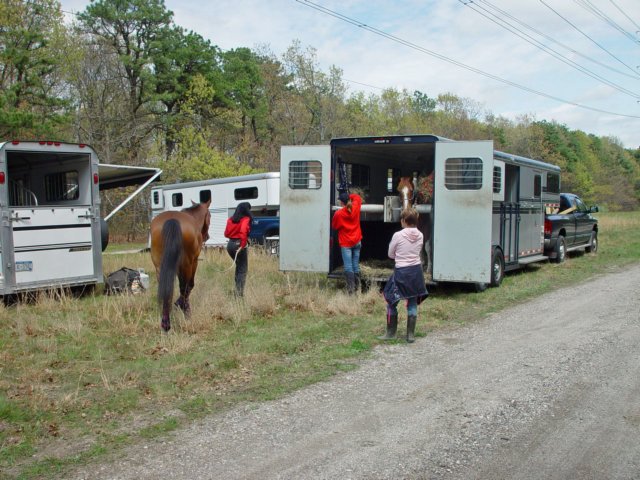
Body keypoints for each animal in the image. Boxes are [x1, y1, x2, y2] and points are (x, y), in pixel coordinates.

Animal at [149, 201, 210, 332]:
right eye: (210, 215)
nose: (207, 236)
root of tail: (172, 219)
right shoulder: (193, 262)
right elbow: (189, 286)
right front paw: (182, 306)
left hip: (160, 267)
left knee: (166, 289)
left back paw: (165, 323)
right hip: (187, 265)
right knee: (184, 287)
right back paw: (185, 313)